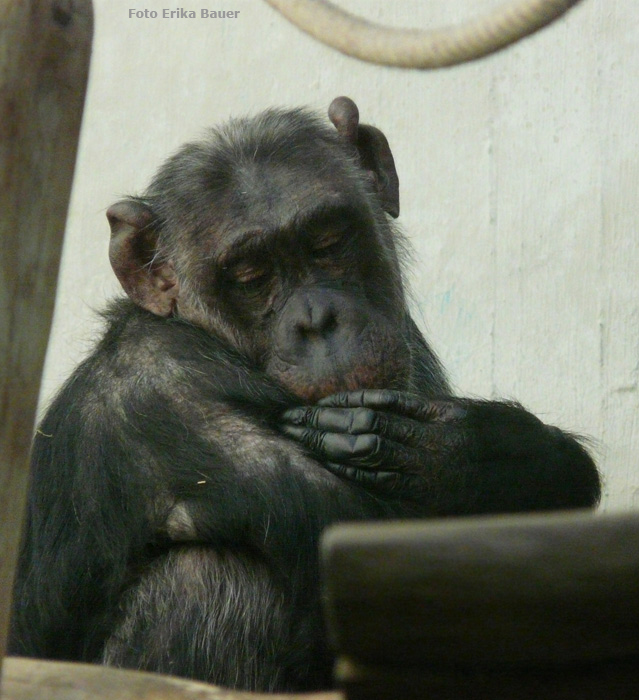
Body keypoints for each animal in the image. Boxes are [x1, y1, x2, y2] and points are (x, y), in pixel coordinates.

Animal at [8, 95, 600, 692]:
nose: (318, 320)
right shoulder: (173, 399)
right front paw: (465, 455)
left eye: (329, 241)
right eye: (250, 276)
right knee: (208, 576)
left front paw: (466, 447)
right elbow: (381, 557)